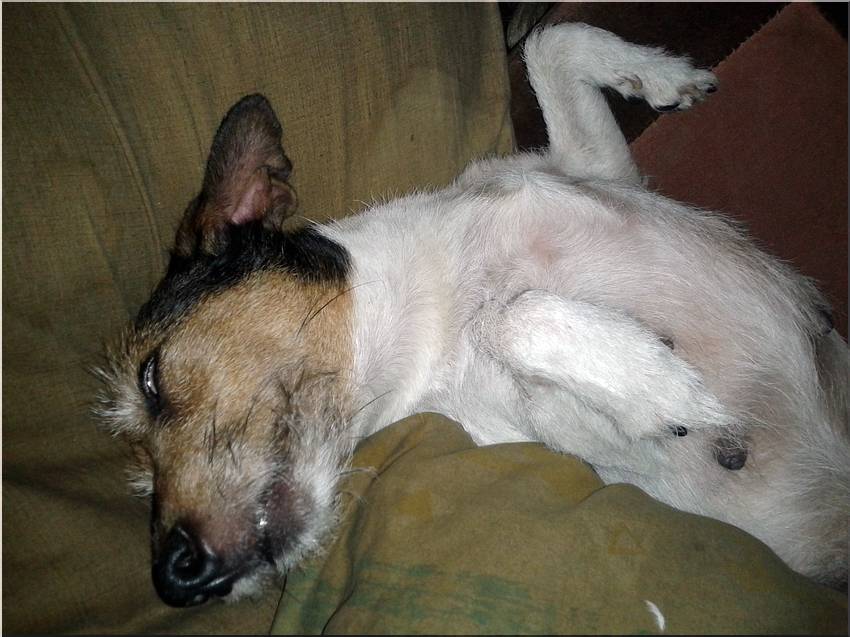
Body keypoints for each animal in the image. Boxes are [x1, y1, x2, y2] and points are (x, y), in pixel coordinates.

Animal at [96, 23, 849, 606]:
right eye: (139, 480)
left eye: (151, 380)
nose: (174, 577)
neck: (439, 290)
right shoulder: (602, 449)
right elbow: (519, 323)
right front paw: (658, 381)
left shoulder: (603, 172)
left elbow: (552, 41)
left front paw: (669, 78)